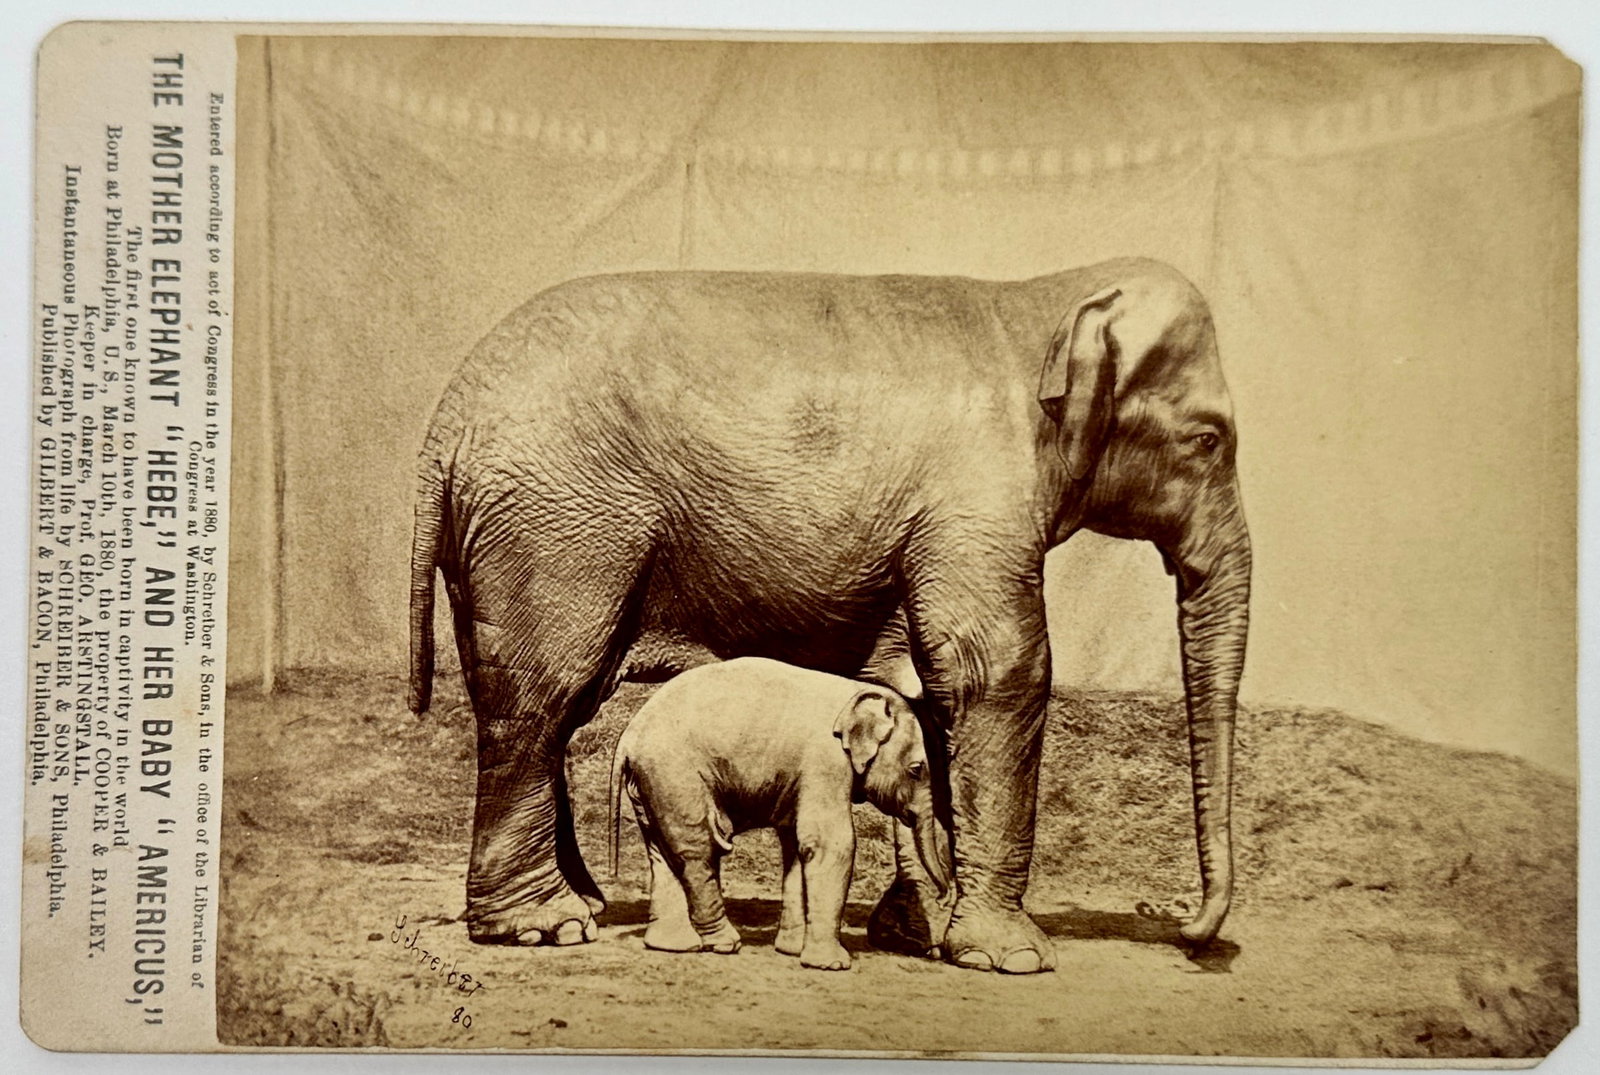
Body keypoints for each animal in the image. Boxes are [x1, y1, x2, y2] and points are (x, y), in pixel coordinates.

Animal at [608, 657, 953, 970]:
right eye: (916, 769)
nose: (943, 897)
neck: (856, 692)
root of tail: (628, 735)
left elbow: (797, 847)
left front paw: (791, 950)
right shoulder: (825, 761)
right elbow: (831, 844)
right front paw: (833, 964)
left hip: (651, 783)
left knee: (661, 850)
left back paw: (674, 945)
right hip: (676, 775)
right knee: (699, 849)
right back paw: (724, 943)